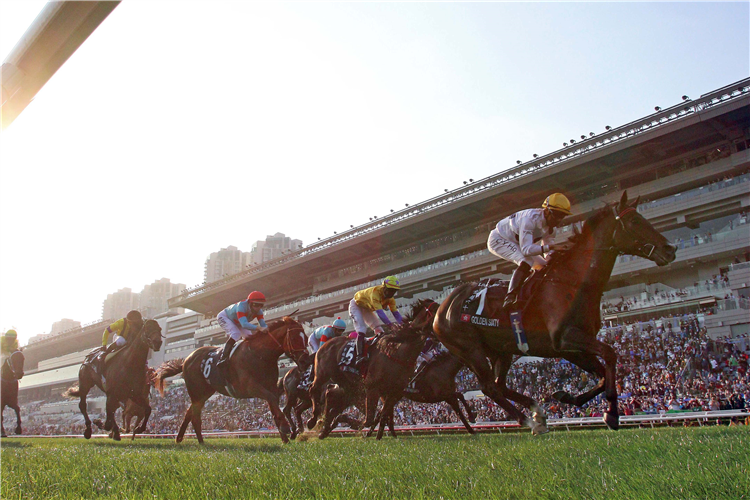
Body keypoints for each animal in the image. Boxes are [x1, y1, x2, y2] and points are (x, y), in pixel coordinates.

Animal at [156, 318, 308, 444]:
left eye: (306, 337)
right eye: (294, 337)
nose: (304, 361)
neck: (260, 354)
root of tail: (186, 360)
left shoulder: (270, 387)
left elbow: (274, 406)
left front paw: (285, 437)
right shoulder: (249, 387)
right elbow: (271, 400)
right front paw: (286, 428)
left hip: (204, 392)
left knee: (189, 413)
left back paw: (183, 438)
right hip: (196, 391)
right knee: (195, 416)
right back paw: (199, 441)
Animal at [308, 298, 440, 440]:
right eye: (435, 310)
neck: (398, 352)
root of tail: (327, 343)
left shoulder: (394, 391)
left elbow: (382, 415)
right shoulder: (373, 387)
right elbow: (370, 419)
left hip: (346, 382)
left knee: (331, 394)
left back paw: (323, 427)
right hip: (323, 373)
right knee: (314, 389)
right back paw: (313, 420)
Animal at [432, 191, 680, 434]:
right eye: (634, 221)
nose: (670, 249)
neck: (573, 281)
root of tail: (442, 307)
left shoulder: (571, 348)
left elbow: (601, 376)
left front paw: (567, 397)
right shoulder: (566, 337)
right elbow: (610, 354)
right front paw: (611, 413)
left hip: (500, 349)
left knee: (499, 385)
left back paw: (537, 411)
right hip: (470, 349)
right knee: (489, 387)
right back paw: (528, 420)